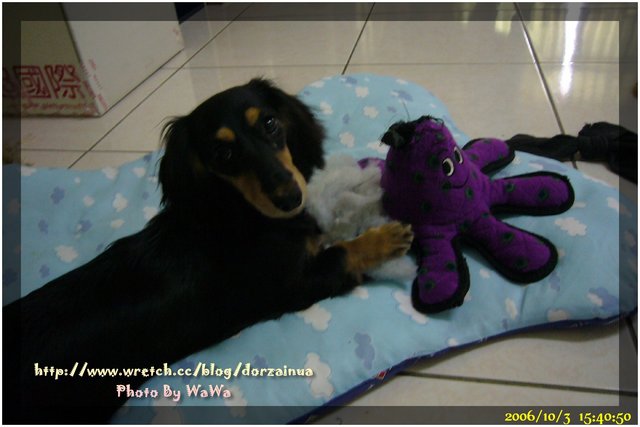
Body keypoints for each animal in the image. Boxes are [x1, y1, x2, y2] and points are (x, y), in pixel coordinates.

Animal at [3, 78, 413, 423]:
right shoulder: (292, 286)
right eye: (223, 153)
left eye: (270, 123)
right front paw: (384, 238)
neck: (235, 211)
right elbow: (343, 251)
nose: (290, 198)